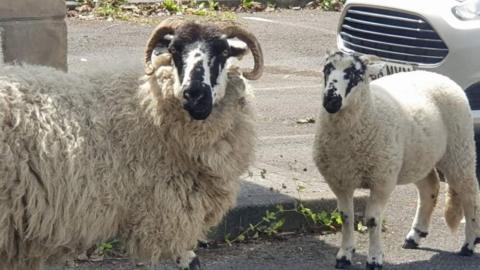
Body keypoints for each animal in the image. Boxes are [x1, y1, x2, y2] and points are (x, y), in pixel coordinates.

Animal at [0, 17, 264, 268]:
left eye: (223, 51)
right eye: (175, 50)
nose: (194, 94)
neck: (146, 107)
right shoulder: (166, 211)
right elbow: (191, 261)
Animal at [314, 51, 480, 270]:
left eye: (356, 74)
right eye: (326, 69)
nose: (331, 101)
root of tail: (442, 77)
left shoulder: (382, 180)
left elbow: (372, 220)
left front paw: (374, 259)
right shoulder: (340, 181)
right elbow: (346, 217)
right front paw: (344, 255)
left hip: (459, 149)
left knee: (470, 193)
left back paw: (469, 244)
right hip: (418, 157)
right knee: (430, 188)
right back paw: (415, 236)